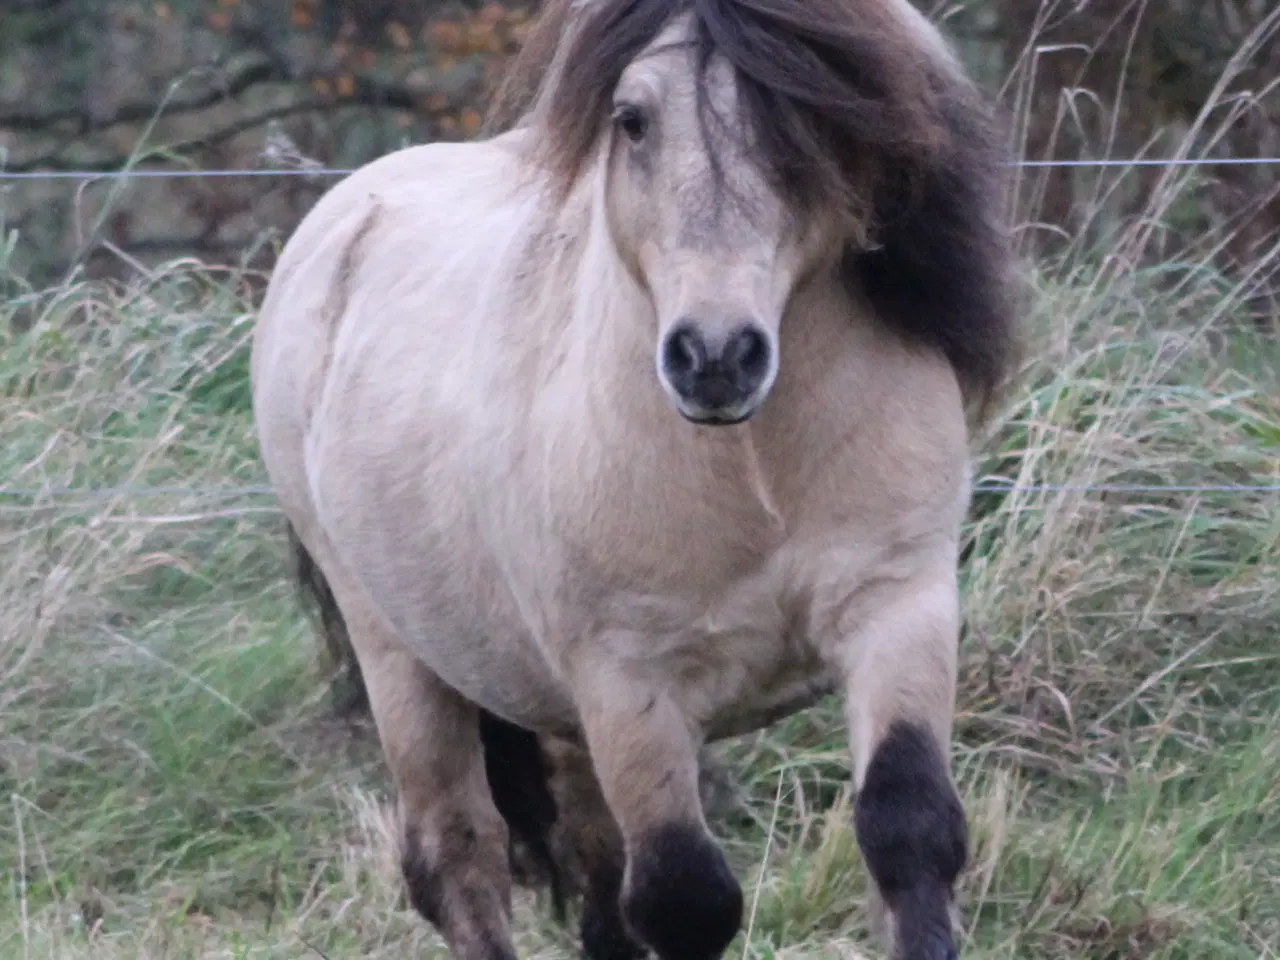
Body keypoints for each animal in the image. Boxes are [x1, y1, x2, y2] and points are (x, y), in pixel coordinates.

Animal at [249, 0, 1018, 957]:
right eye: (632, 119)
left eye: (806, 117)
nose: (715, 356)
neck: (752, 469)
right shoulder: (628, 681)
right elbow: (685, 897)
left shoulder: (898, 609)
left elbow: (907, 829)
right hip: (401, 656)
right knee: (460, 857)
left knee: (592, 866)